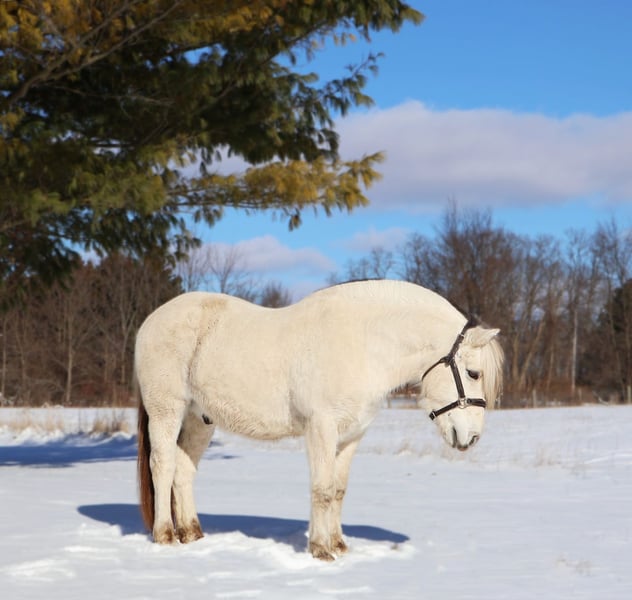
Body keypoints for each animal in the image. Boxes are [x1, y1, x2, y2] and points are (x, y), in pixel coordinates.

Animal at [135, 279, 503, 560]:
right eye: (473, 373)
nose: (471, 437)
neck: (363, 343)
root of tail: (151, 320)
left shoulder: (352, 436)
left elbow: (338, 490)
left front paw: (339, 545)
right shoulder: (321, 429)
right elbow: (322, 489)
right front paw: (320, 550)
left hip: (200, 419)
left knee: (184, 471)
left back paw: (192, 533)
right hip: (166, 409)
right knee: (163, 465)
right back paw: (165, 535)